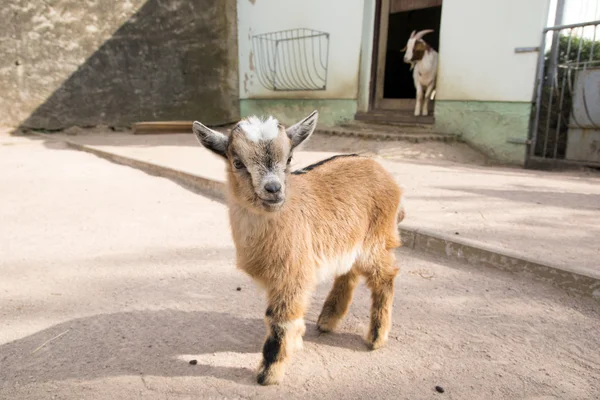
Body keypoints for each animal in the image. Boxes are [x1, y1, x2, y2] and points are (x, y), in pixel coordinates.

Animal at [195, 111, 406, 386]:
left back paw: (376, 338)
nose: (274, 189)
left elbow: (280, 319)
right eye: (238, 162)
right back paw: (327, 320)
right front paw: (295, 344)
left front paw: (268, 375)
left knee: (385, 275)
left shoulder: (292, 275)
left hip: (377, 239)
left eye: (289, 159)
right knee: (348, 272)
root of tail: (382, 171)